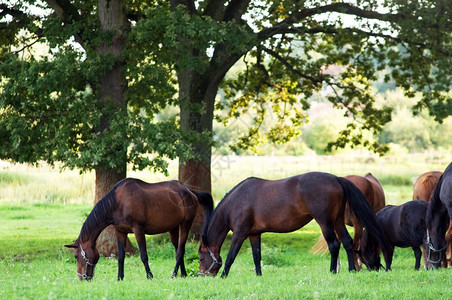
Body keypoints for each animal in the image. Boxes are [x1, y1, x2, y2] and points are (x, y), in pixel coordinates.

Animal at [65, 177, 215, 280]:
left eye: (76, 256)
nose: (82, 277)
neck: (118, 202)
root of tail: (189, 191)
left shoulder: (138, 230)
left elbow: (143, 255)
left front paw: (149, 276)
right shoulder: (120, 231)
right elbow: (121, 256)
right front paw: (120, 277)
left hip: (185, 225)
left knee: (180, 251)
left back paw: (173, 274)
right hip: (173, 229)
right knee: (179, 248)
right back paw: (182, 274)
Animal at [198, 171, 392, 276]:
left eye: (200, 257)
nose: (201, 274)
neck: (237, 201)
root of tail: (336, 178)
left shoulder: (240, 234)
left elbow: (230, 256)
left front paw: (224, 276)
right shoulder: (254, 234)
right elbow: (256, 256)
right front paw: (259, 275)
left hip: (325, 223)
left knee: (334, 245)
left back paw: (332, 271)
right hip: (337, 222)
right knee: (347, 242)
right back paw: (351, 270)